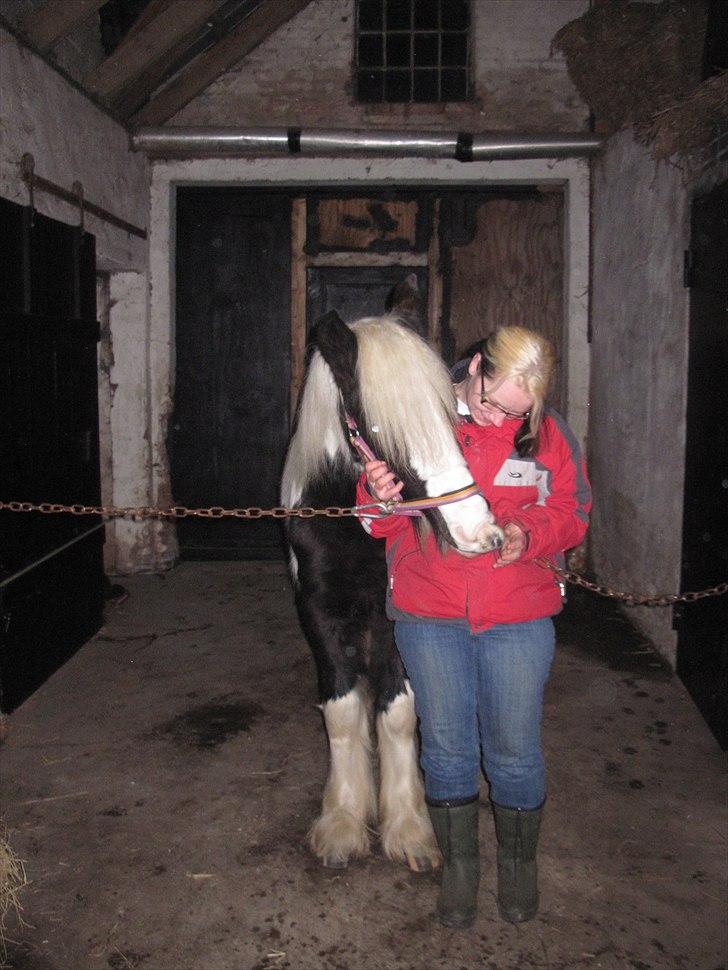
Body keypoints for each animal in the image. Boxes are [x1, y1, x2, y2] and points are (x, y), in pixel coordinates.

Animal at [282, 274, 504, 868]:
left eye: (454, 416)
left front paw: (407, 826)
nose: (481, 531)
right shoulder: (318, 610)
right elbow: (341, 710)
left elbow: (399, 711)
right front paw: (342, 821)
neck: (349, 525)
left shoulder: (397, 619)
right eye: (382, 430)